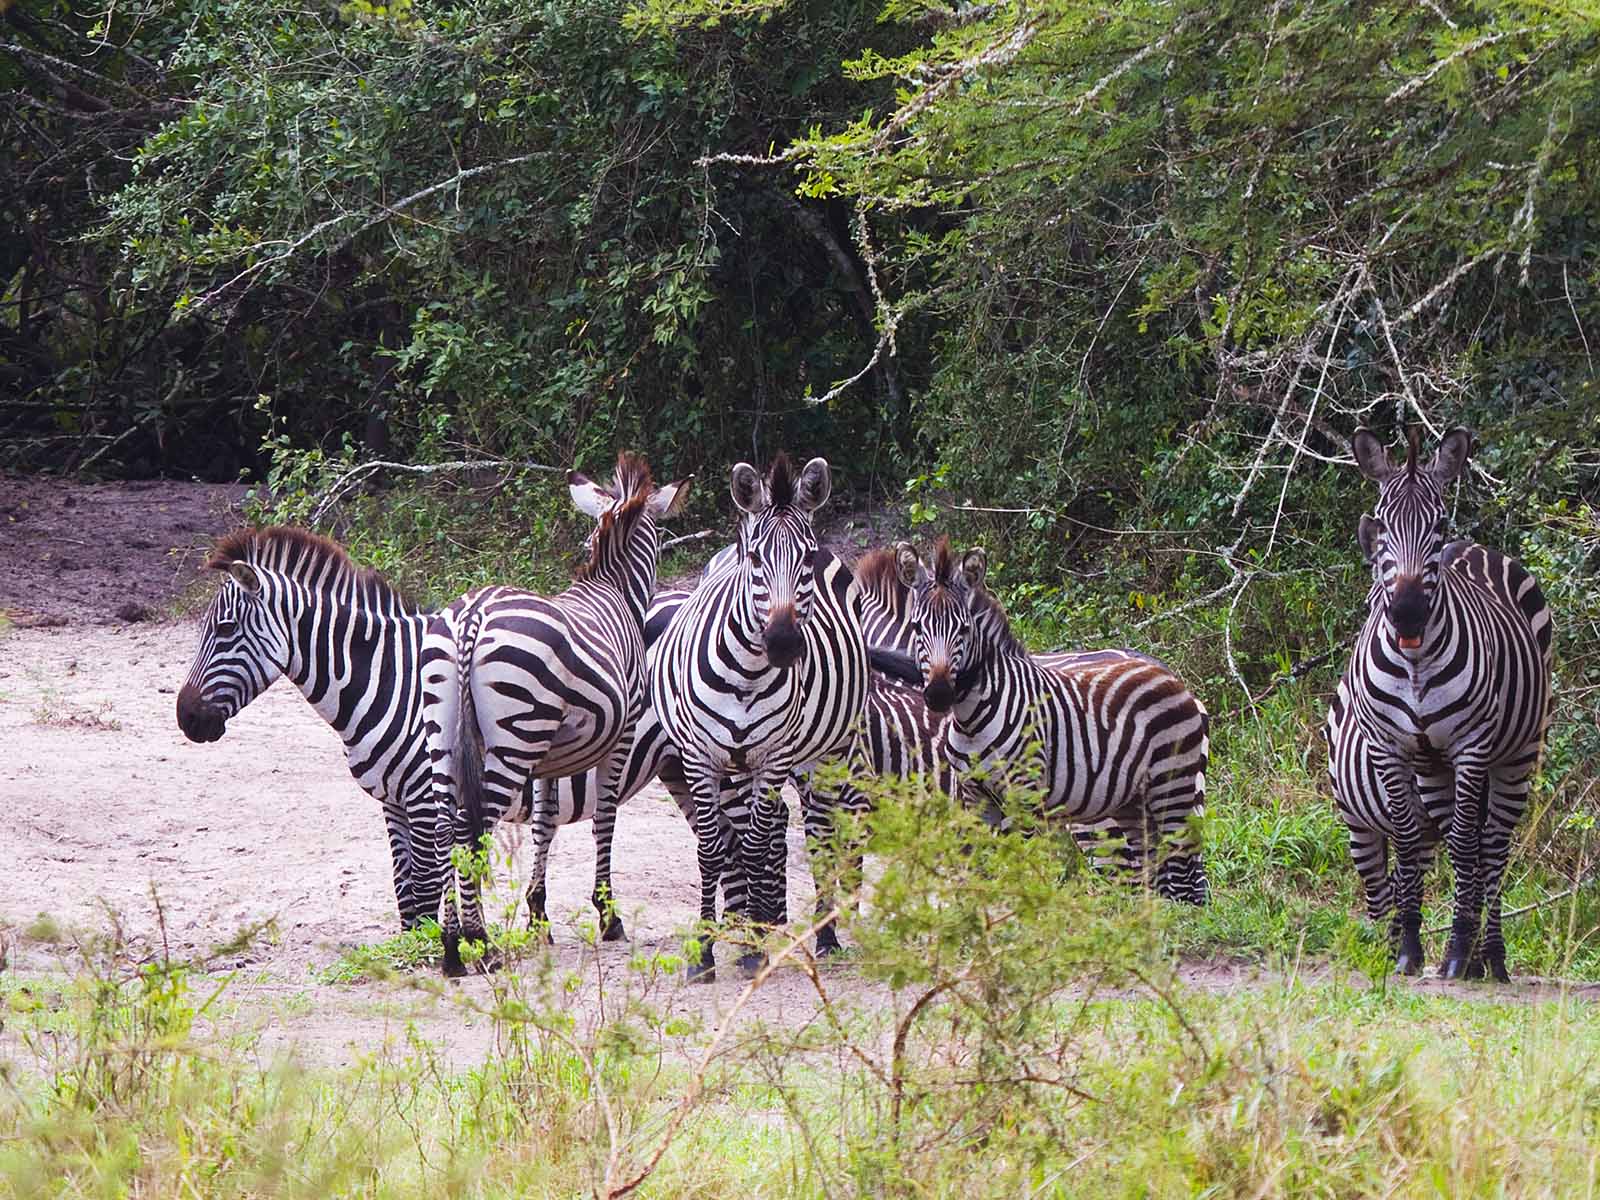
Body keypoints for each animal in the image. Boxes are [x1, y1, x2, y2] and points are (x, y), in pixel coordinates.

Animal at [421, 452, 690, 975]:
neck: (614, 591)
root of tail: (473, 615)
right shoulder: (621, 737)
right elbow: (605, 818)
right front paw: (608, 916)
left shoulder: (549, 759)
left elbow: (544, 823)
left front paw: (538, 915)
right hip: (513, 738)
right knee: (470, 829)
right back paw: (479, 942)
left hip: (446, 732)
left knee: (445, 827)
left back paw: (451, 949)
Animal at [650, 453, 870, 980]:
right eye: (755, 560)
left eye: (806, 559)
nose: (784, 644)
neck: (746, 676)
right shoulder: (700, 758)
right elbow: (712, 848)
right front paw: (705, 950)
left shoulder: (773, 757)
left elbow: (752, 845)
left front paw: (752, 950)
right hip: (740, 765)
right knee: (777, 825)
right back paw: (759, 919)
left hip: (827, 750)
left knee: (817, 830)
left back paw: (818, 934)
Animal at [891, 537, 1210, 902]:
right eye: (916, 627)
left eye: (965, 629)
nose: (939, 694)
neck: (971, 718)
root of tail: (1172, 676)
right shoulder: (974, 796)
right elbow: (982, 867)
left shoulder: (1024, 792)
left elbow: (1020, 864)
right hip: (1133, 802)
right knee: (1155, 874)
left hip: (1174, 786)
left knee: (1185, 879)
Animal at [1339, 427, 1552, 981]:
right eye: (1382, 524)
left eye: (1437, 524)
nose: (1408, 613)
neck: (1415, 663)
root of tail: (1475, 547)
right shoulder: (1391, 746)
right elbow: (1410, 840)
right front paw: (1410, 950)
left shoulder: (1471, 745)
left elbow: (1464, 844)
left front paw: (1456, 951)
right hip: (1433, 766)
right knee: (1465, 842)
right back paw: (1475, 955)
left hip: (1516, 753)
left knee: (1491, 845)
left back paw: (1489, 955)